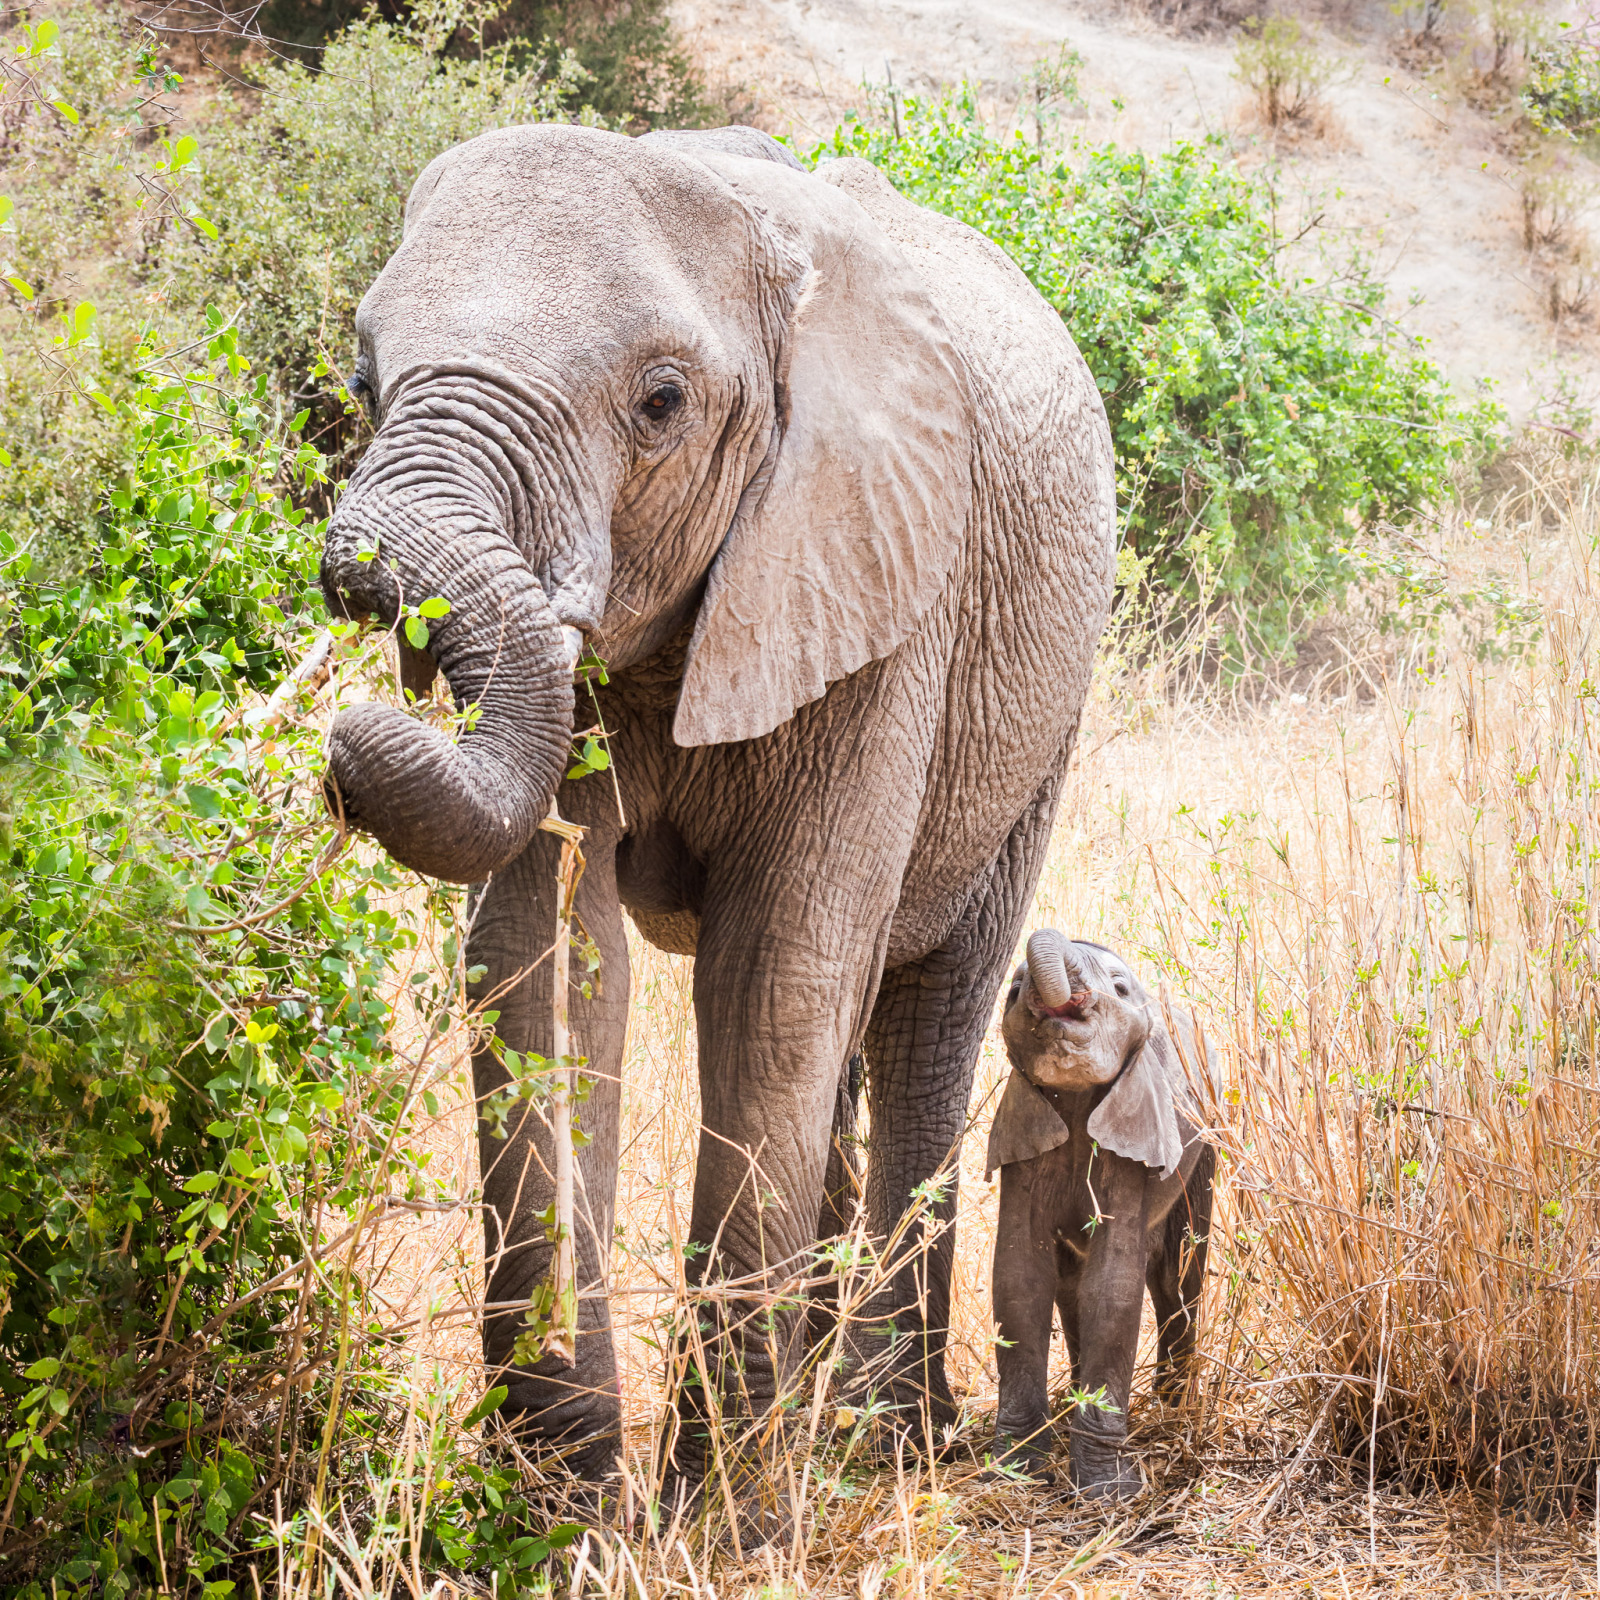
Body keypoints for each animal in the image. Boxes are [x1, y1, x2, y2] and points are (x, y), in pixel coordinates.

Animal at [315, 124, 1113, 1484]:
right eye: (366, 379)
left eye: (661, 401)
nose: (351, 750)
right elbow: (542, 952)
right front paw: (562, 1492)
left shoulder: (881, 588)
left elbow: (773, 981)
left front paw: (722, 1502)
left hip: (1037, 705)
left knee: (928, 1008)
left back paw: (879, 1437)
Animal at [979, 934, 1216, 1491]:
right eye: (1013, 991)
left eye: (1120, 988)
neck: (1075, 1095)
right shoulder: (1022, 1135)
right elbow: (1020, 1277)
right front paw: (1015, 1472)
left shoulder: (1135, 1135)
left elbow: (1113, 1287)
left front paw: (1108, 1491)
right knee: (1072, 1283)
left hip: (1206, 1146)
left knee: (1179, 1274)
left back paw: (1174, 1409)